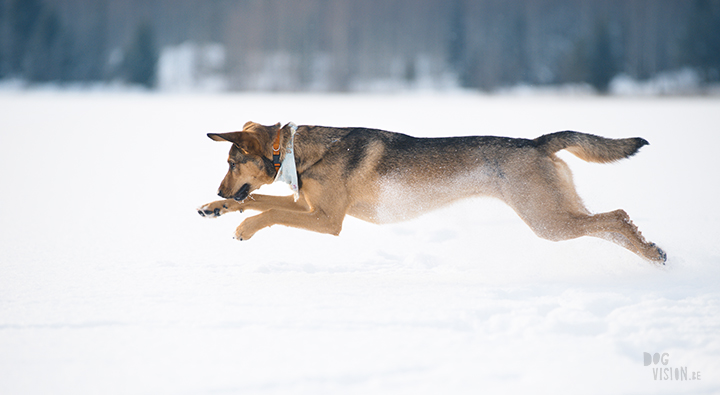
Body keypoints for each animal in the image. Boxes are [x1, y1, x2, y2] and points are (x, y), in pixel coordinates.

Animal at [198, 120, 668, 262]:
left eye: (231, 162)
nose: (220, 186)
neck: (301, 150)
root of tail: (538, 142)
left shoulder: (327, 220)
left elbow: (267, 211)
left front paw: (244, 229)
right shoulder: (309, 206)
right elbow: (255, 200)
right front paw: (214, 207)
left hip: (547, 221)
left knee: (617, 216)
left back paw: (653, 254)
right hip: (557, 211)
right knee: (609, 222)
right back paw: (653, 252)